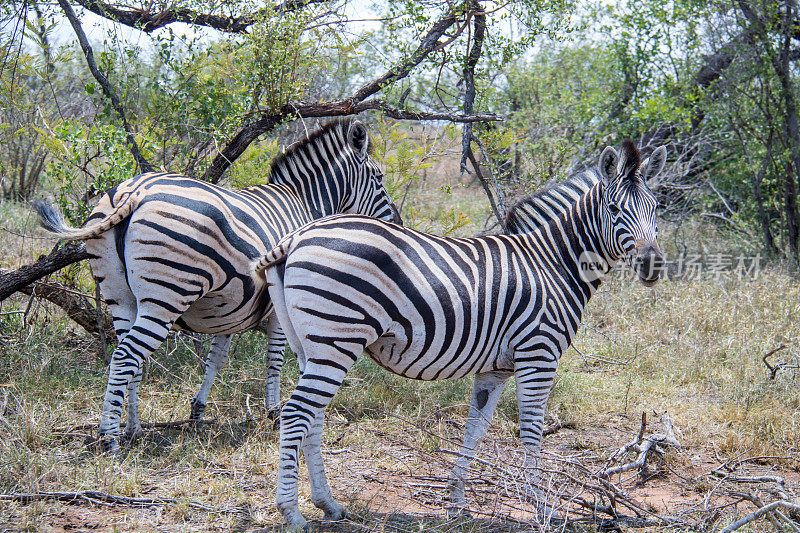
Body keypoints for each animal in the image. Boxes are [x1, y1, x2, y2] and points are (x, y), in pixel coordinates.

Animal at [34, 118, 404, 450]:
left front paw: (197, 409)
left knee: (129, 359)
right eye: (379, 178)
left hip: (119, 296)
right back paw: (109, 438)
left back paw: (133, 428)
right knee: (126, 357)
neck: (302, 203)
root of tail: (135, 192)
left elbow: (216, 358)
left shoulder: (228, 307)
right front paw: (274, 412)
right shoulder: (277, 308)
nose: (398, 224)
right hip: (165, 295)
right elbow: (274, 359)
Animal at [256, 139, 668, 524]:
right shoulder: (538, 356)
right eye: (614, 209)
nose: (653, 265)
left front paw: (457, 502)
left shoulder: (496, 369)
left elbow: (475, 431)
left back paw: (327, 503)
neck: (553, 264)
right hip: (335, 341)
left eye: (656, 209)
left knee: (313, 419)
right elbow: (531, 434)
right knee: (295, 414)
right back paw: (291, 512)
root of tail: (296, 236)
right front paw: (542, 506)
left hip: (309, 346)